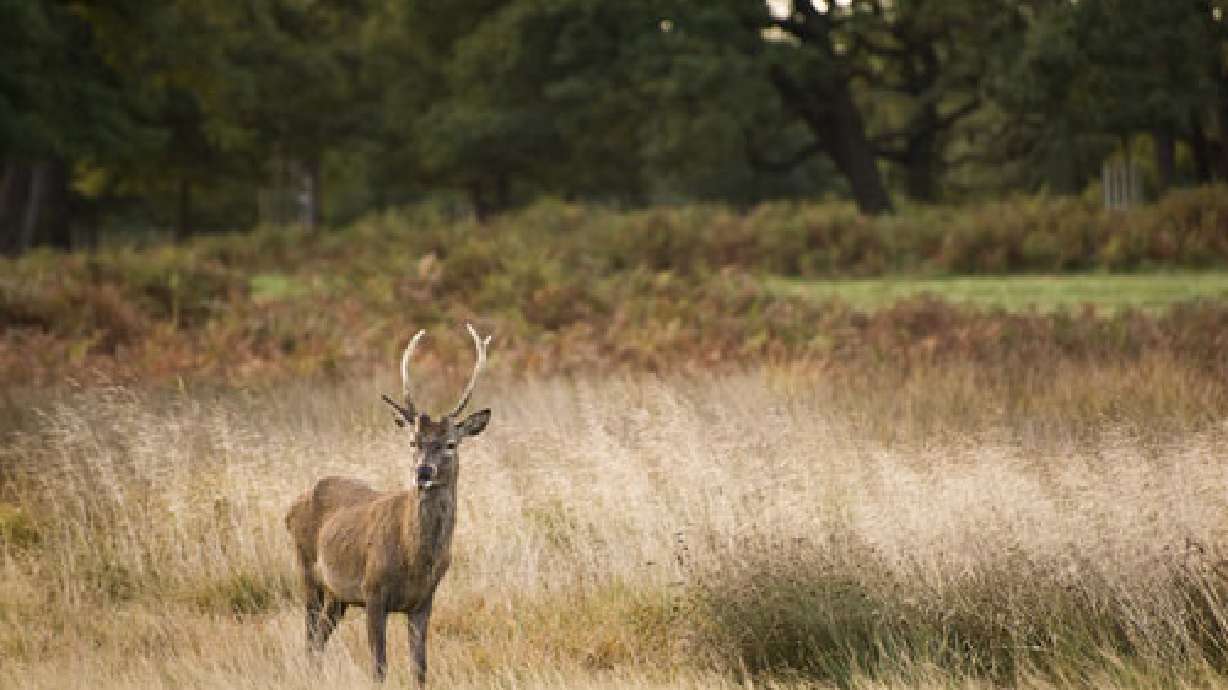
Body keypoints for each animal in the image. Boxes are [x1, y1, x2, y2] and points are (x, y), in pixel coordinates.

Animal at [285, 324, 492, 685]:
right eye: (413, 442)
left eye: (451, 443)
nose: (423, 471)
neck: (415, 558)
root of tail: (290, 509)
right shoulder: (373, 590)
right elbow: (379, 667)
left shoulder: (424, 601)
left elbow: (420, 669)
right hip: (306, 566)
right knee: (310, 635)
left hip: (338, 595)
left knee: (320, 635)